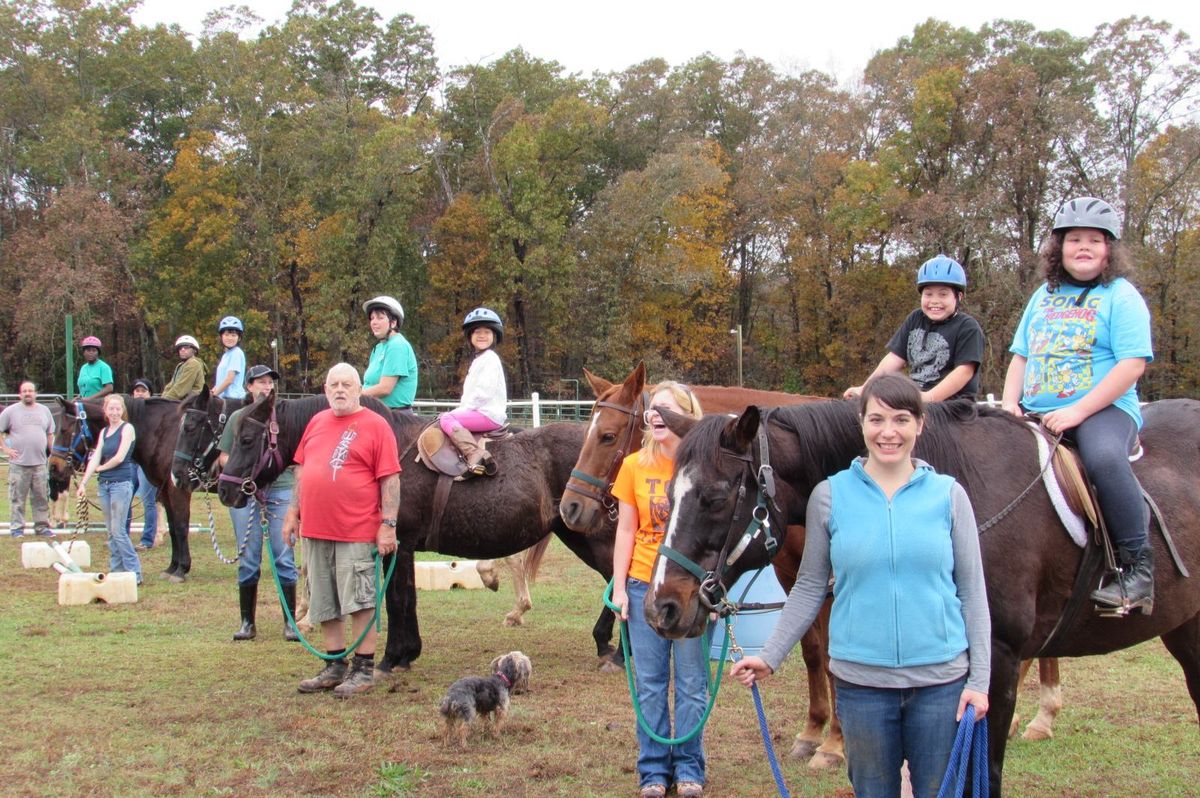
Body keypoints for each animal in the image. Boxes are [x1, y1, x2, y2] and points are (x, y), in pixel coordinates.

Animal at [50, 396, 195, 578]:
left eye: (63, 430)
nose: (53, 466)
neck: (163, 432)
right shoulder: (166, 490)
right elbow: (173, 528)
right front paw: (172, 567)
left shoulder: (178, 490)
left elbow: (181, 526)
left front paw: (182, 569)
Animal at [217, 391, 624, 672]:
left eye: (247, 440)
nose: (224, 489)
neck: (385, 452)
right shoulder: (402, 547)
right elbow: (406, 598)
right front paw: (406, 654)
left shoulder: (398, 543)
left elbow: (397, 600)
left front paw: (391, 658)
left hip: (593, 537)